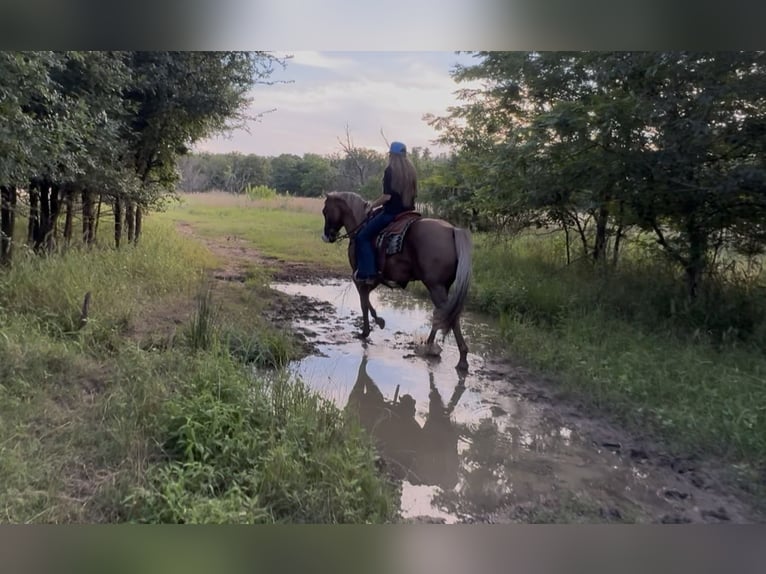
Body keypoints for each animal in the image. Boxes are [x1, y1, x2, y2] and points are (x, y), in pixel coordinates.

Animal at [320, 191, 473, 371]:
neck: (360, 227)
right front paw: (377, 322)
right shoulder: (374, 278)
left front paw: (367, 330)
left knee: (450, 317)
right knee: (443, 314)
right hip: (442, 287)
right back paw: (429, 346)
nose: (327, 236)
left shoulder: (359, 277)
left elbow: (364, 302)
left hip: (435, 287)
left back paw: (460, 359)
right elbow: (367, 300)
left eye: (325, 211)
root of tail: (452, 230)